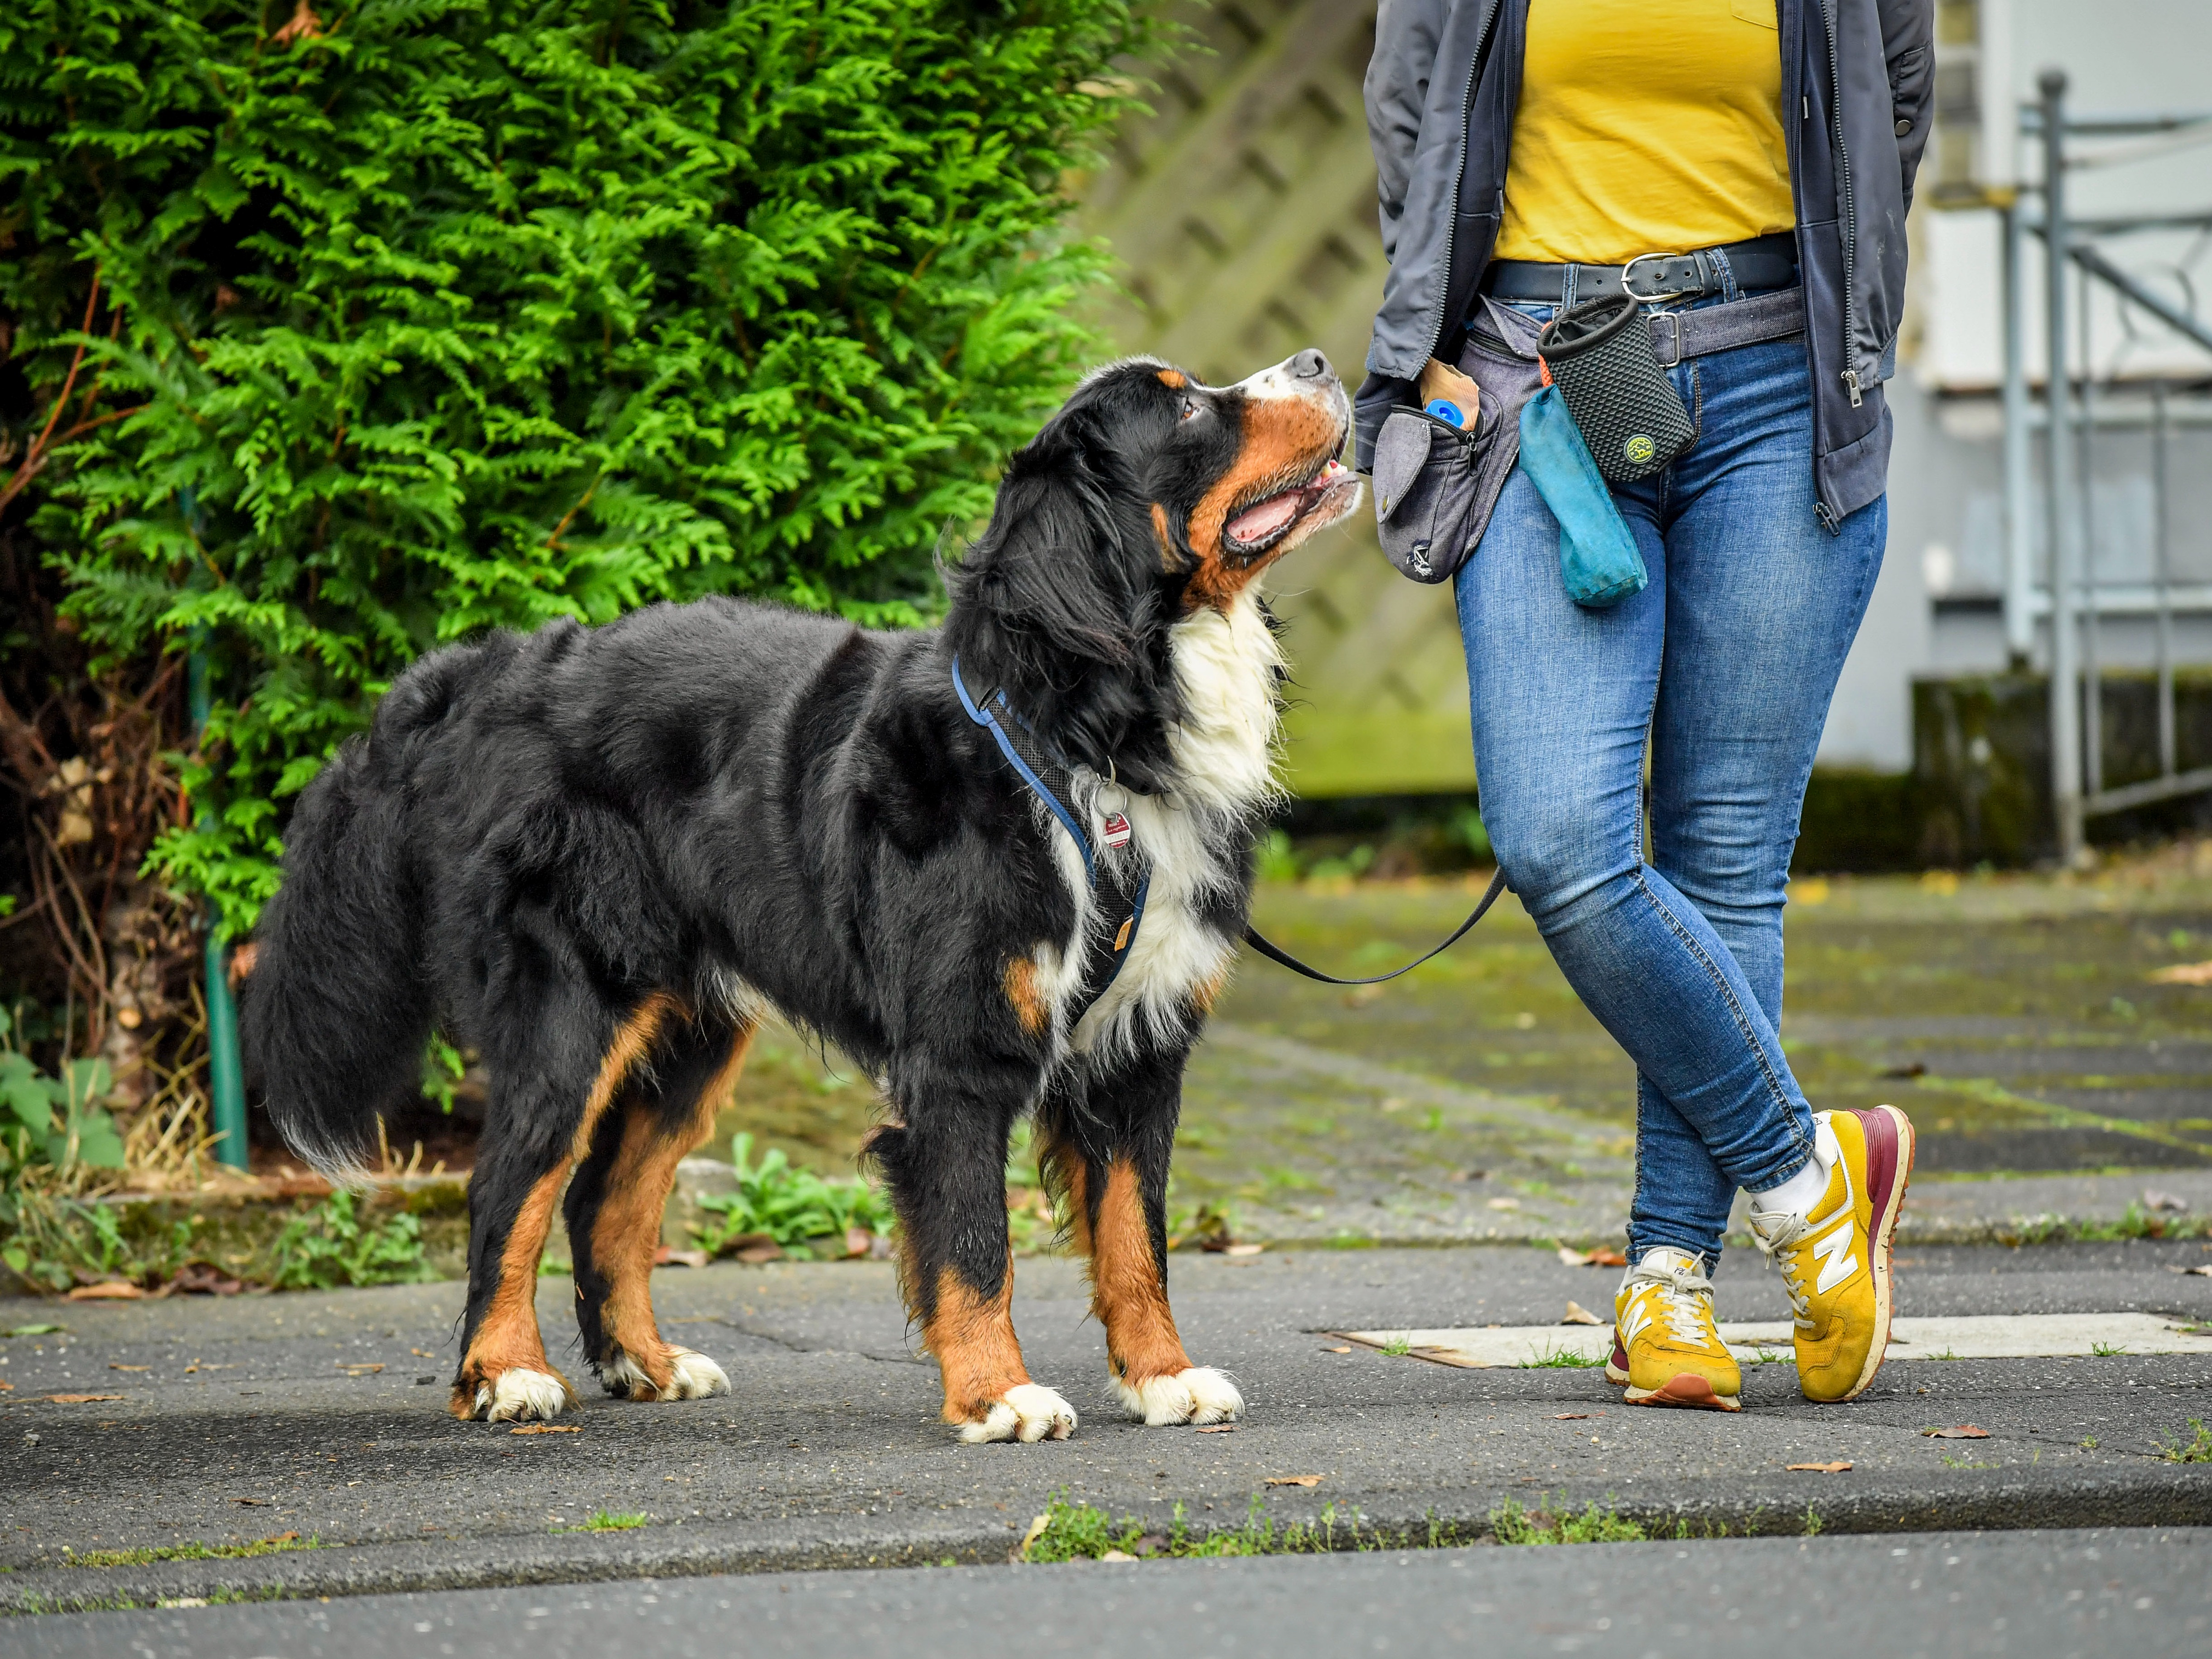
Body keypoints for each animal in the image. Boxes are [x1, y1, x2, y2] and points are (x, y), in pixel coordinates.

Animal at [233, 352, 1353, 1442]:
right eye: (1184, 414)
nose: (1321, 361)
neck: (1083, 737)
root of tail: (488, 667)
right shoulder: (959, 1054)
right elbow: (973, 1244)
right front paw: (998, 1395)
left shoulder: (1135, 1051)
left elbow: (1135, 1240)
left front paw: (1162, 1378)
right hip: (572, 1012)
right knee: (510, 1184)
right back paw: (506, 1371)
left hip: (687, 1033)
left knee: (605, 1199)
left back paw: (645, 1363)